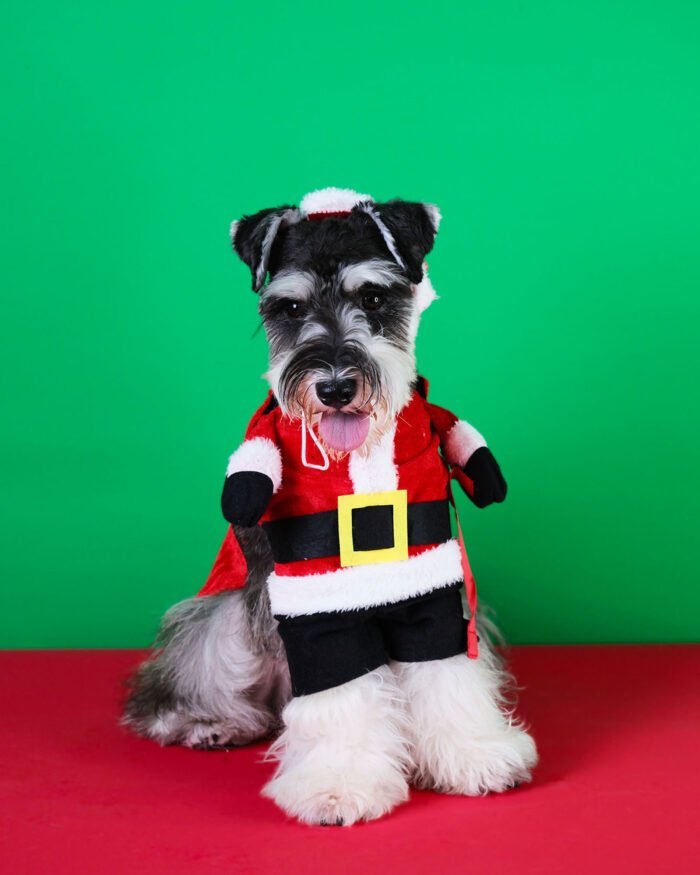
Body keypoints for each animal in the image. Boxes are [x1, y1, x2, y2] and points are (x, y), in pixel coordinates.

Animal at [124, 186, 540, 828]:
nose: (337, 386)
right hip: (224, 620)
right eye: (291, 309)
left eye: (373, 297)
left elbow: (445, 673)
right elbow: (339, 691)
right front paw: (338, 785)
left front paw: (476, 754)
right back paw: (205, 720)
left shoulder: (432, 585)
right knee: (183, 675)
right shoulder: (318, 601)